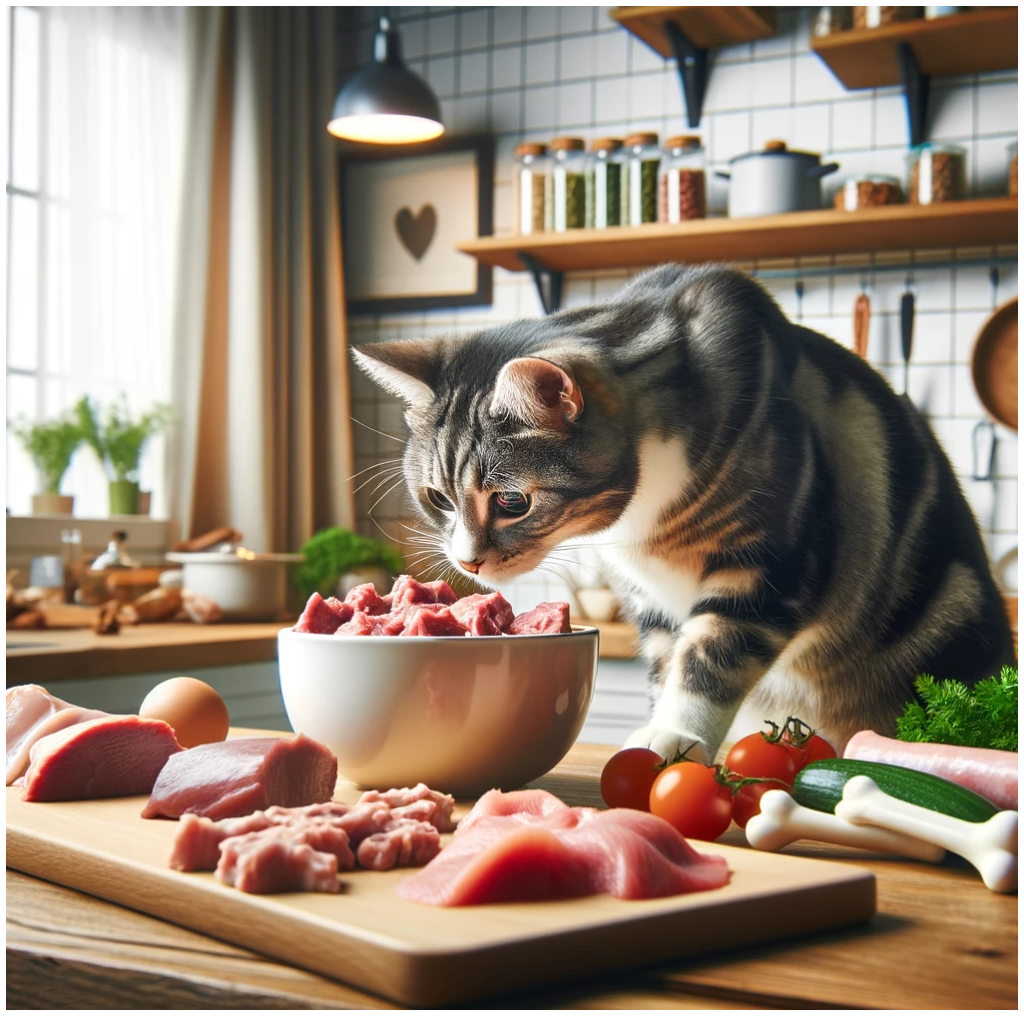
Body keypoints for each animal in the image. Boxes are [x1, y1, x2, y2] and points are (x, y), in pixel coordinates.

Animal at [354, 266, 1015, 757]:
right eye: (437, 498)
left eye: (512, 501)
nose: (467, 561)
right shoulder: (648, 598)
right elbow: (669, 656)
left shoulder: (770, 562)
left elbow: (710, 655)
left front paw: (675, 733)